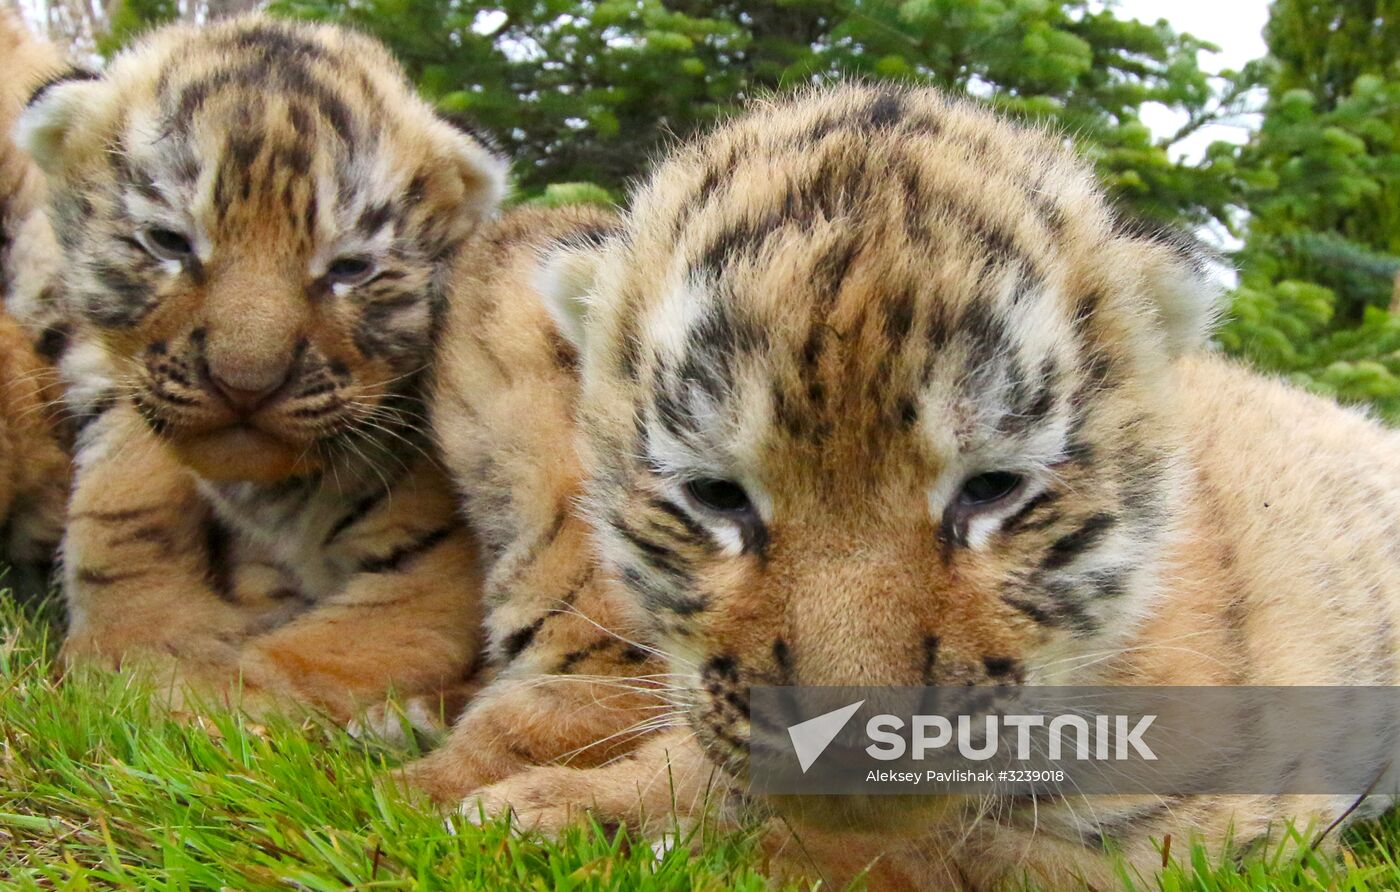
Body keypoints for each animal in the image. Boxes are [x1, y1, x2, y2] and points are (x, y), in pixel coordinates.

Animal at [12, 14, 507, 724]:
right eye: (169, 242)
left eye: (350, 268)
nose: (245, 385)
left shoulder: (433, 576)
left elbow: (297, 665)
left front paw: (169, 700)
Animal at [427, 84, 1400, 890]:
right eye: (717, 496)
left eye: (991, 489)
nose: (853, 741)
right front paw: (536, 806)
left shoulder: (1185, 830)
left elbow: (939, 847)